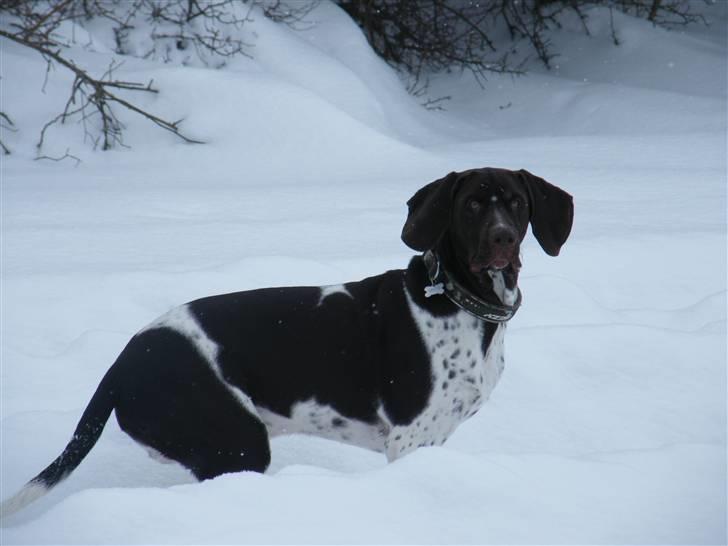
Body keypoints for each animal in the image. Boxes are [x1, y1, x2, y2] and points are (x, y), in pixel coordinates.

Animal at [1, 166, 576, 516]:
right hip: (235, 442)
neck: (459, 299)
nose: (502, 238)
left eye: (517, 203)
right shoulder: (410, 440)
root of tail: (122, 364)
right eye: (472, 206)